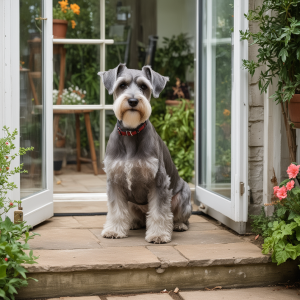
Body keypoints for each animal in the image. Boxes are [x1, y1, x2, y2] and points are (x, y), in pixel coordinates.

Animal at [98, 63, 192, 244]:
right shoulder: (114, 181)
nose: (133, 101)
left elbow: (159, 212)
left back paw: (179, 225)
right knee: (136, 216)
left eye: (144, 87)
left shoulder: (159, 182)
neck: (131, 132)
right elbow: (116, 210)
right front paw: (114, 230)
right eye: (122, 85)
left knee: (179, 216)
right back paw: (134, 223)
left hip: (182, 197)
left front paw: (158, 235)